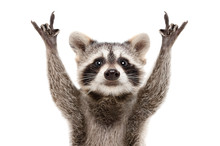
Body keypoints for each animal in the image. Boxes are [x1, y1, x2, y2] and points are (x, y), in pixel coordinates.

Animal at [31, 12, 187, 145]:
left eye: (123, 62)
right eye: (98, 62)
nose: (112, 72)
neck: (109, 95)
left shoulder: (139, 108)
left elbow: (156, 89)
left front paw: (166, 46)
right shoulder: (77, 108)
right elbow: (60, 89)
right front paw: (51, 46)